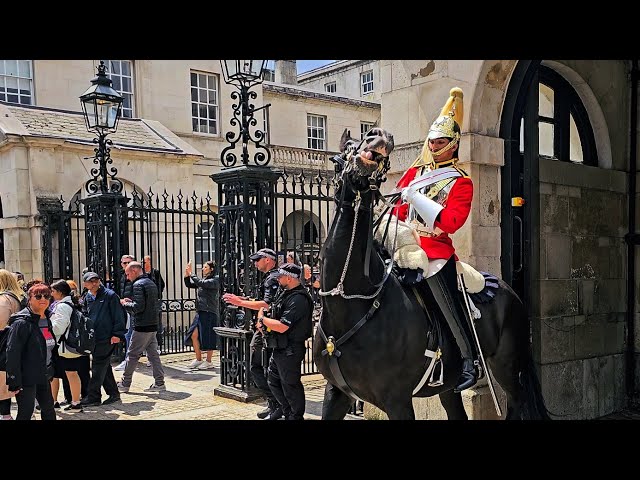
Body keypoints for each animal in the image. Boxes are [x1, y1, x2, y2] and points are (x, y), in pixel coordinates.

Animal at [312, 127, 548, 420]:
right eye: (342, 154)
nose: (377, 135)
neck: (355, 303)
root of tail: (509, 290)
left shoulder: (397, 400)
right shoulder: (336, 393)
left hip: (507, 366)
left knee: (515, 403)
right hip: (450, 385)